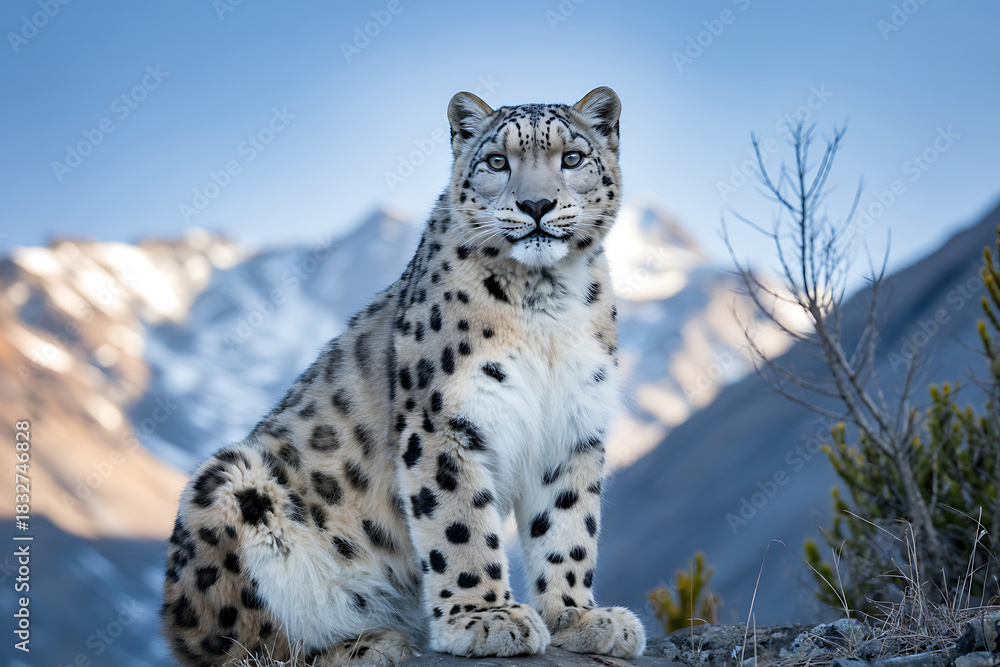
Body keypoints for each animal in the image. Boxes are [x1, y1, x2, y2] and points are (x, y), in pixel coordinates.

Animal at [160, 86, 646, 666]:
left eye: (571, 159)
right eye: (497, 162)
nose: (536, 205)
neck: (544, 303)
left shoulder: (573, 425)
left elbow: (568, 527)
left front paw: (579, 617)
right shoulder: (443, 421)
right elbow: (460, 523)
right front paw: (485, 619)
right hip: (228, 484)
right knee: (244, 644)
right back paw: (369, 642)